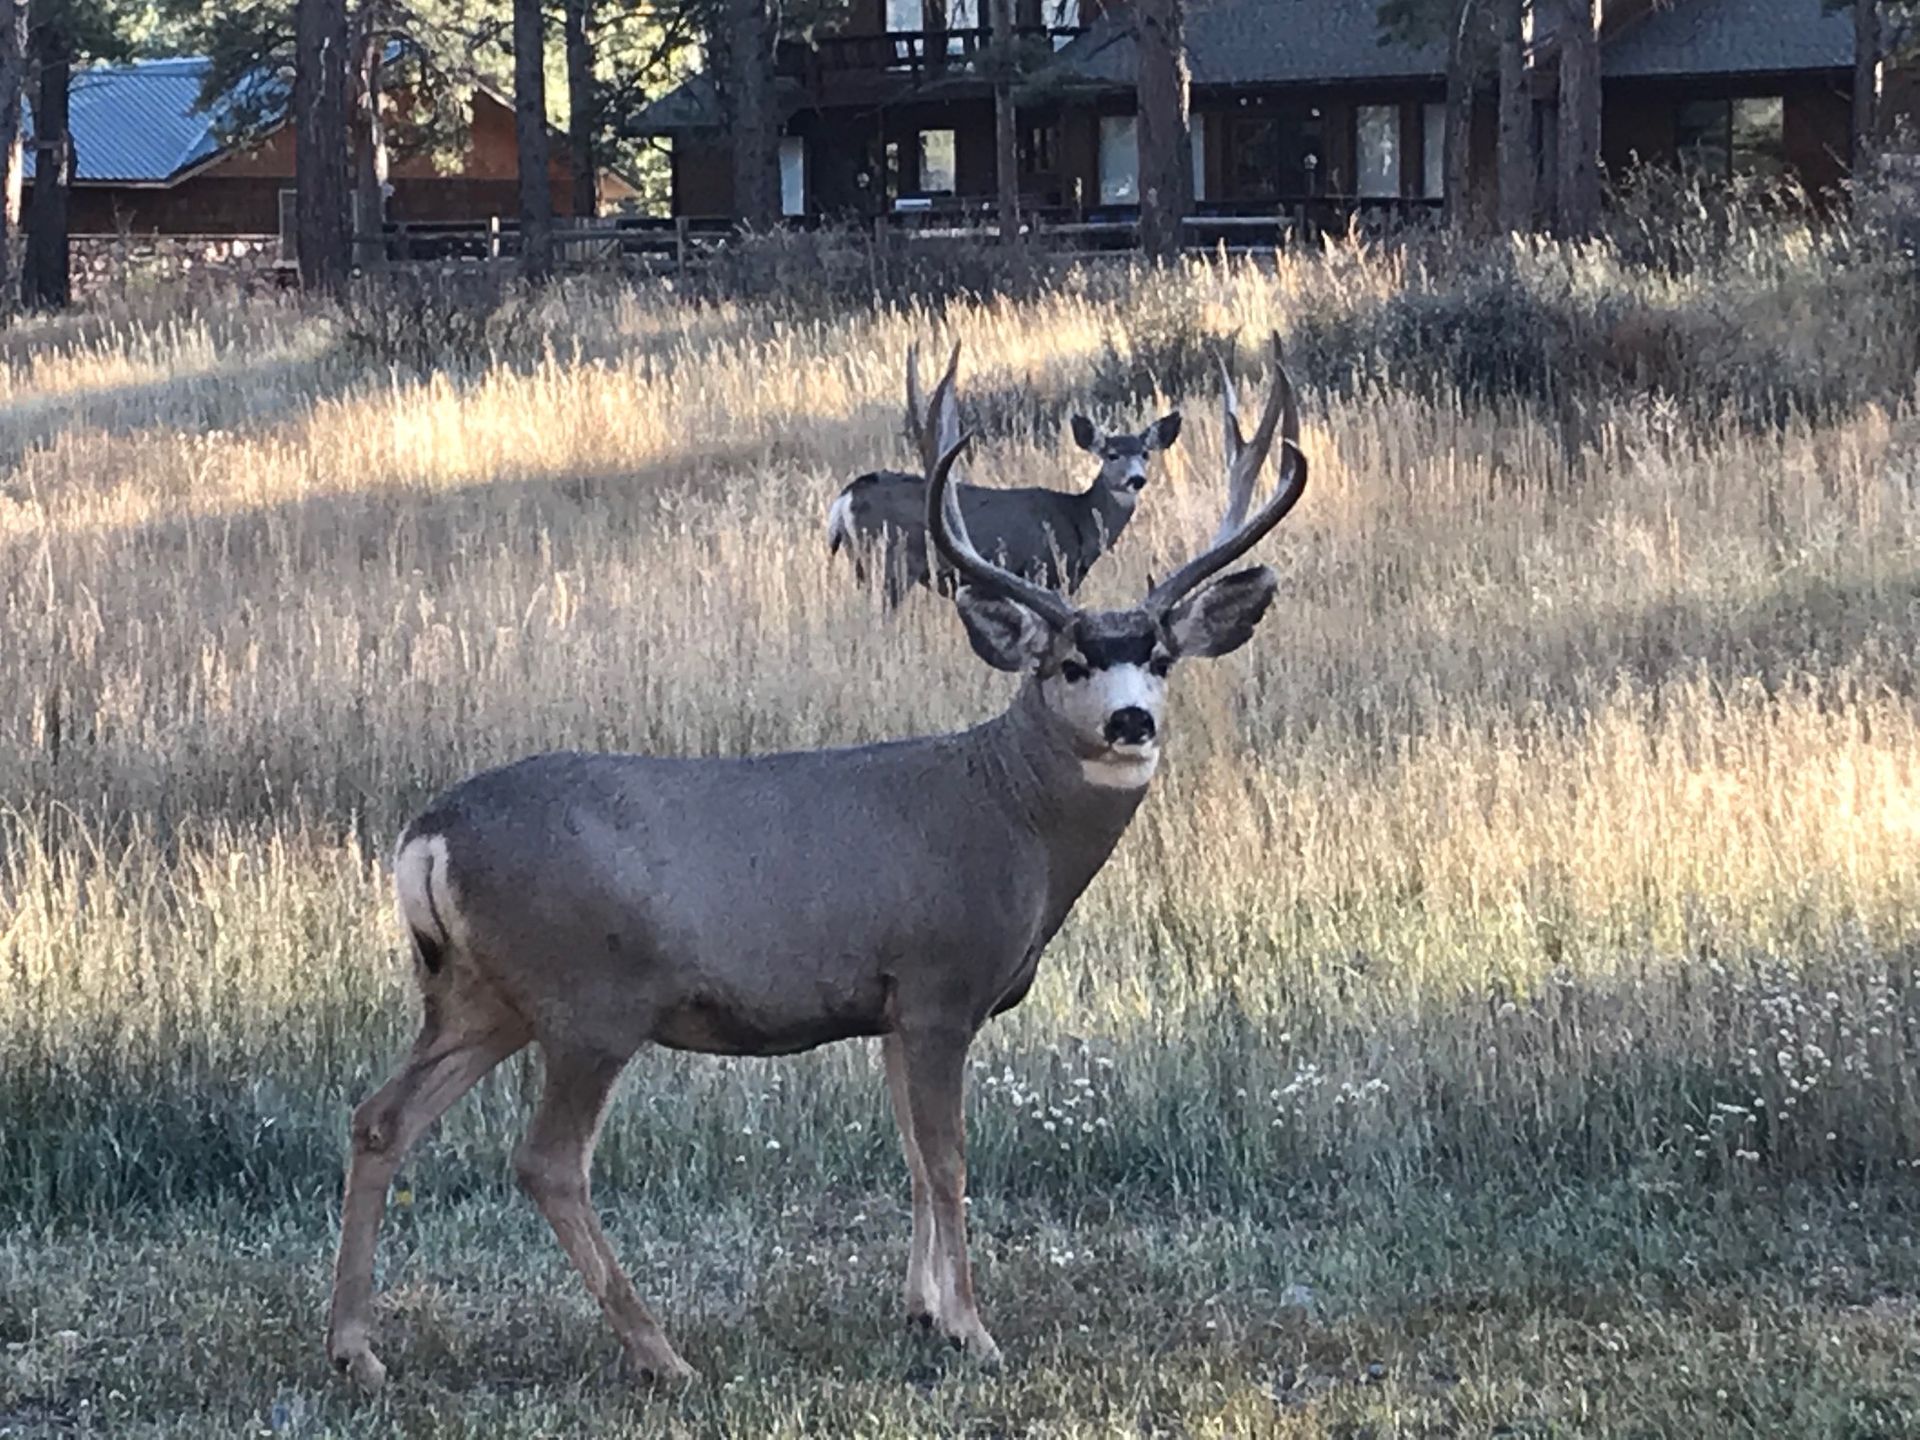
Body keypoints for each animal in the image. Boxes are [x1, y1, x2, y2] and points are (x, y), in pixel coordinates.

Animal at [826, 343, 1183, 607]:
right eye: (1111, 454)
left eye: (1145, 453)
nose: (1136, 479)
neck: (1077, 518)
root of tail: (846, 499)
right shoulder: (1043, 570)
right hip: (888, 563)